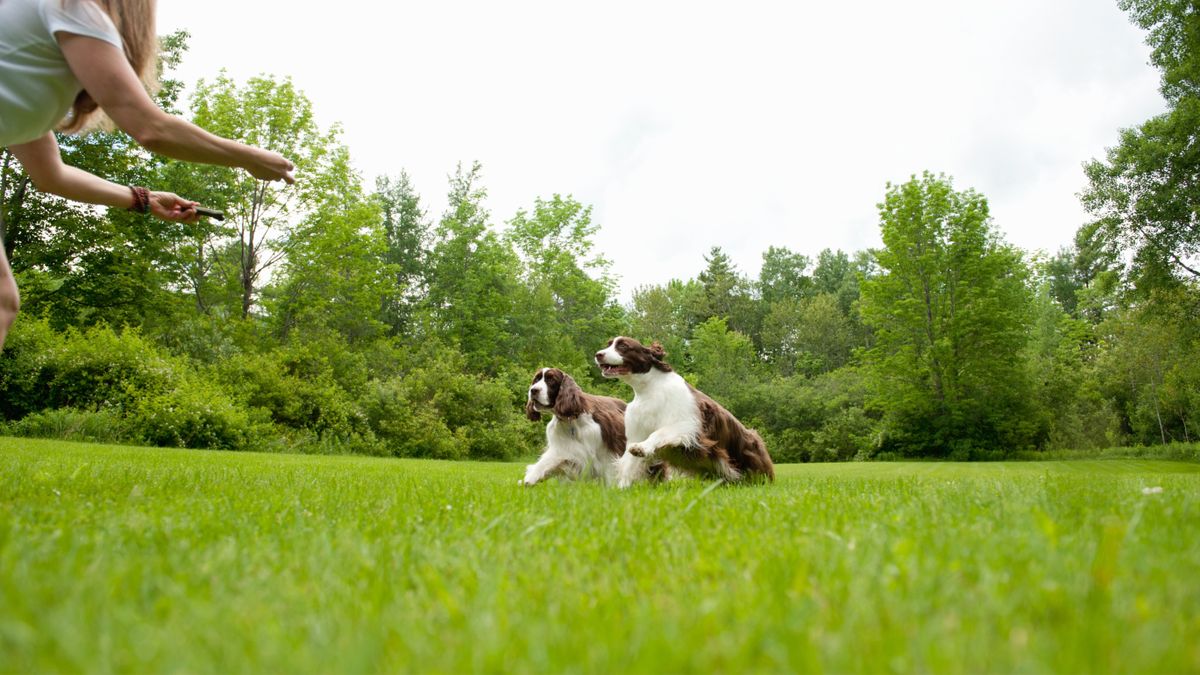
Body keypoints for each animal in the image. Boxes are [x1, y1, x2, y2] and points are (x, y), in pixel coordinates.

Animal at [592, 333, 777, 482]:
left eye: (623, 346)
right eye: (608, 344)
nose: (598, 354)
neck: (650, 388)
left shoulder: (687, 424)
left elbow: (658, 433)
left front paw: (641, 448)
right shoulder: (637, 430)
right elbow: (630, 465)